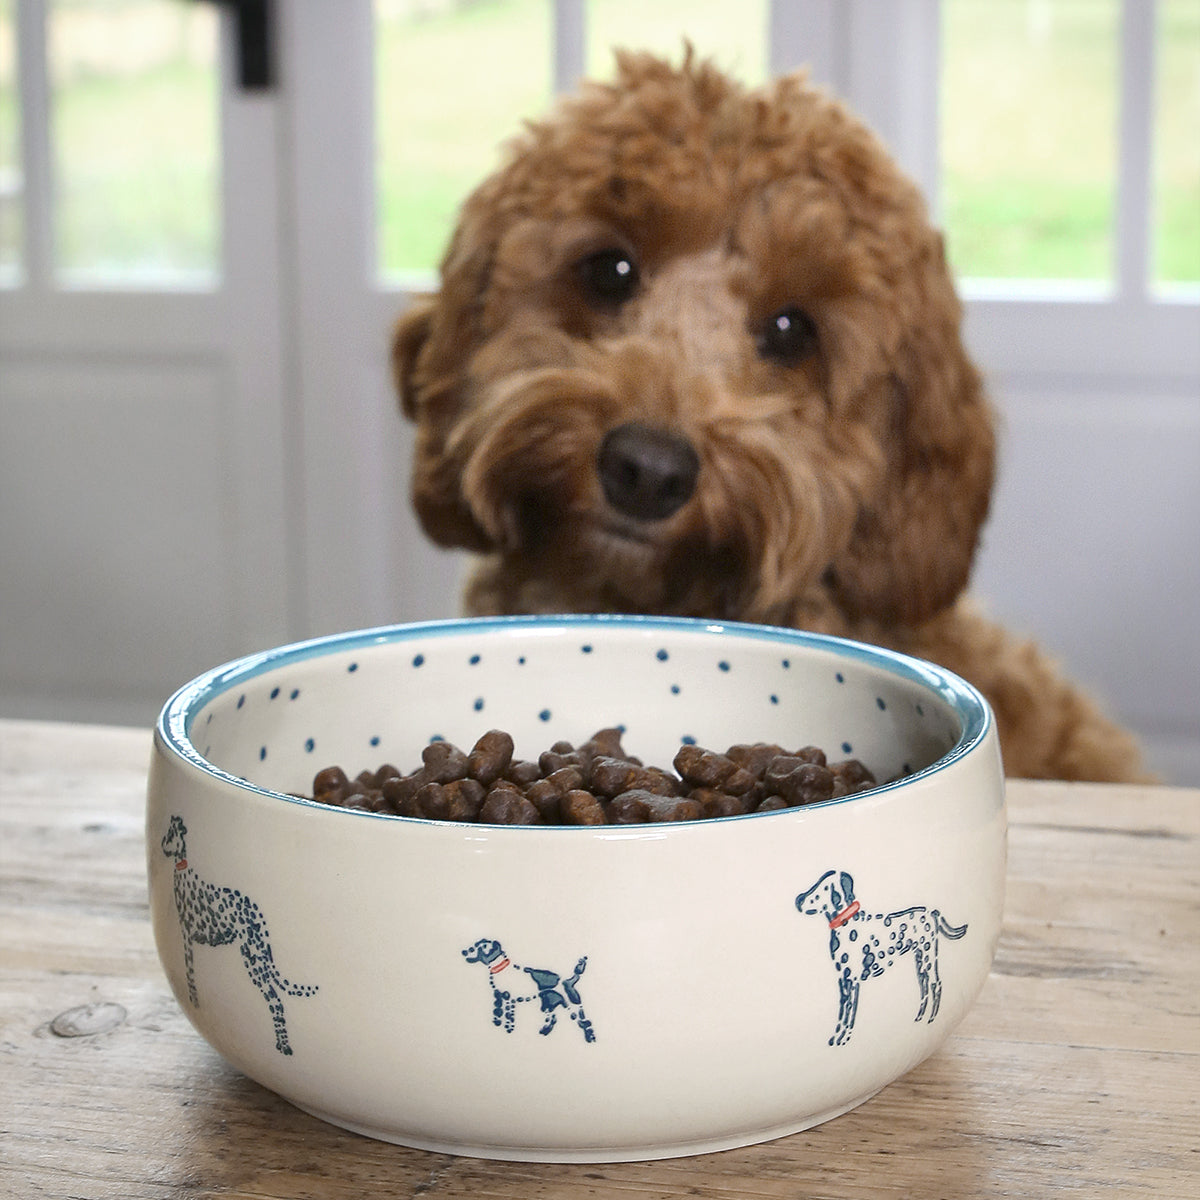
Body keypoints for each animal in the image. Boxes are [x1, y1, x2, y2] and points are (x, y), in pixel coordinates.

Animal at [160, 811, 319, 1056]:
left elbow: (190, 972)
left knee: (275, 1000)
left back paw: (284, 1047)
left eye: (172, 834)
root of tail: (258, 911)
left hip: (254, 957)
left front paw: (195, 997)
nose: (162, 844)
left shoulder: (185, 934)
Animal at [465, 936, 597, 1041]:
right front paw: (498, 1024)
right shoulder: (499, 996)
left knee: (583, 1019)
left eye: (482, 947)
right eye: (474, 945)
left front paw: (508, 1028)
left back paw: (590, 1037)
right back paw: (544, 1031)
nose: (464, 952)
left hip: (570, 1002)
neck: (501, 968)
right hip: (547, 1002)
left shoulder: (508, 999)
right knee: (552, 1018)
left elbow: (508, 1015)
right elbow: (497, 1012)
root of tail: (569, 979)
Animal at [792, 864, 969, 1051]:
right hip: (920, 961)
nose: (799, 900)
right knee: (924, 985)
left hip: (929, 959)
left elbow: (850, 1011)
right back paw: (920, 1017)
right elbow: (842, 1012)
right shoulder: (843, 981)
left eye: (822, 887)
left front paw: (844, 1038)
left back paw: (930, 1018)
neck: (847, 925)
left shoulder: (853, 981)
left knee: (936, 984)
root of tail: (932, 912)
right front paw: (836, 1037)